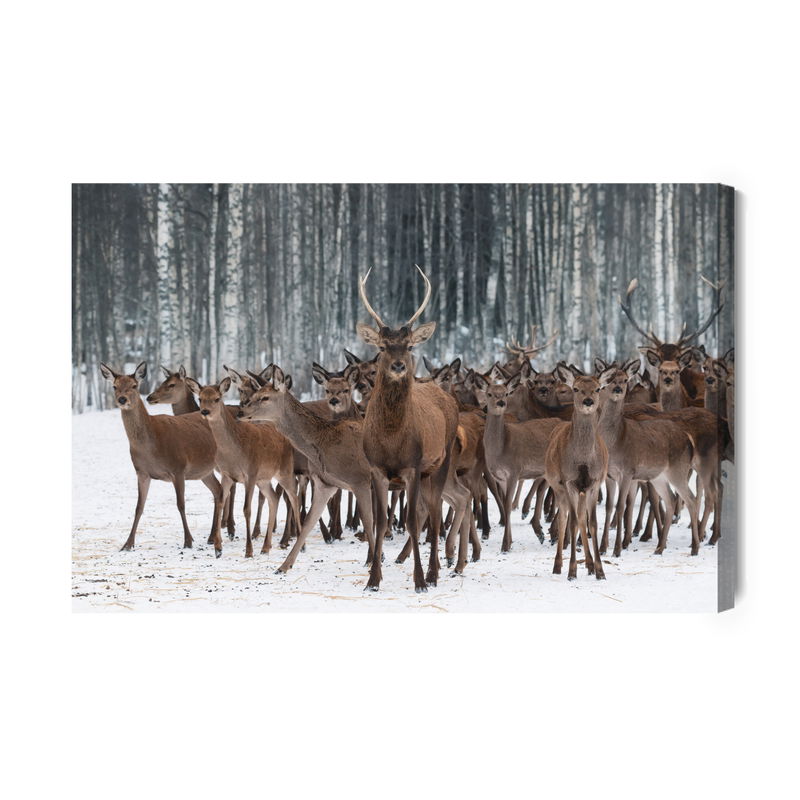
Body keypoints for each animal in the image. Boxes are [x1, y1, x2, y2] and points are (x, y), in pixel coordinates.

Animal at [99, 362, 224, 555]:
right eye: (114, 386)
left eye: (134, 386)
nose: (122, 399)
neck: (151, 447)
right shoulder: (142, 472)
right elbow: (138, 507)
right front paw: (127, 544)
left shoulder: (178, 468)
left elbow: (181, 504)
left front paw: (188, 540)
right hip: (204, 471)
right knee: (218, 490)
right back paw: (212, 537)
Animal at [184, 376, 301, 559]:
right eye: (200, 398)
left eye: (217, 398)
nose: (205, 412)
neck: (234, 452)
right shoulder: (227, 475)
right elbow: (220, 502)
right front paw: (218, 548)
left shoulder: (250, 473)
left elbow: (247, 509)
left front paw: (249, 550)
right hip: (264, 479)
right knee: (274, 498)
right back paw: (266, 547)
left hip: (285, 470)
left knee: (294, 497)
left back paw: (300, 545)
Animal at [238, 365, 377, 578]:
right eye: (253, 395)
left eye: (265, 397)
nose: (240, 411)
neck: (325, 444)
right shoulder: (325, 483)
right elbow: (308, 522)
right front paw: (284, 566)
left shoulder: (360, 480)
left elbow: (369, 522)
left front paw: (373, 561)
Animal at [356, 265, 473, 591]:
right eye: (383, 346)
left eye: (409, 345)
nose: (398, 366)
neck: (392, 439)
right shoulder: (376, 470)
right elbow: (381, 522)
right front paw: (373, 579)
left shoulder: (412, 465)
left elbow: (410, 521)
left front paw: (419, 580)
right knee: (431, 511)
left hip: (440, 463)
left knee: (433, 514)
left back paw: (435, 572)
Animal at [544, 364, 616, 580]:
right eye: (576, 388)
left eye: (598, 388)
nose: (588, 401)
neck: (583, 459)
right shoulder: (569, 482)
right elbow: (572, 523)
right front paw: (572, 571)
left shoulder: (594, 483)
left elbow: (591, 523)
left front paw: (600, 571)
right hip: (557, 487)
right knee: (564, 519)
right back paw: (558, 566)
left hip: (582, 491)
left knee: (582, 519)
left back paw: (590, 565)